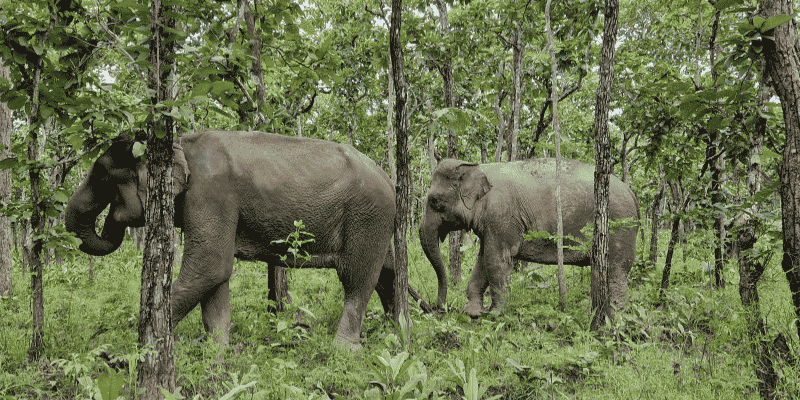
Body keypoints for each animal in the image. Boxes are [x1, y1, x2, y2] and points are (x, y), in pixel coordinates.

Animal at [64, 130, 397, 349]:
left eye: (101, 176)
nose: (113, 219)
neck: (180, 142)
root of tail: (389, 180)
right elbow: (216, 279)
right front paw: (216, 354)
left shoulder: (211, 195)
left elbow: (209, 266)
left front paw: (131, 351)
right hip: (378, 224)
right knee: (387, 274)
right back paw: (397, 334)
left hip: (368, 216)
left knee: (357, 279)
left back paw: (344, 351)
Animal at [419, 158, 639, 318]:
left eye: (435, 201)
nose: (440, 308)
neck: (477, 166)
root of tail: (631, 191)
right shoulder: (493, 224)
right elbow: (483, 259)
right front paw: (471, 312)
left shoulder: (501, 217)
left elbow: (495, 260)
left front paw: (495, 314)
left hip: (620, 226)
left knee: (615, 270)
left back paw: (617, 317)